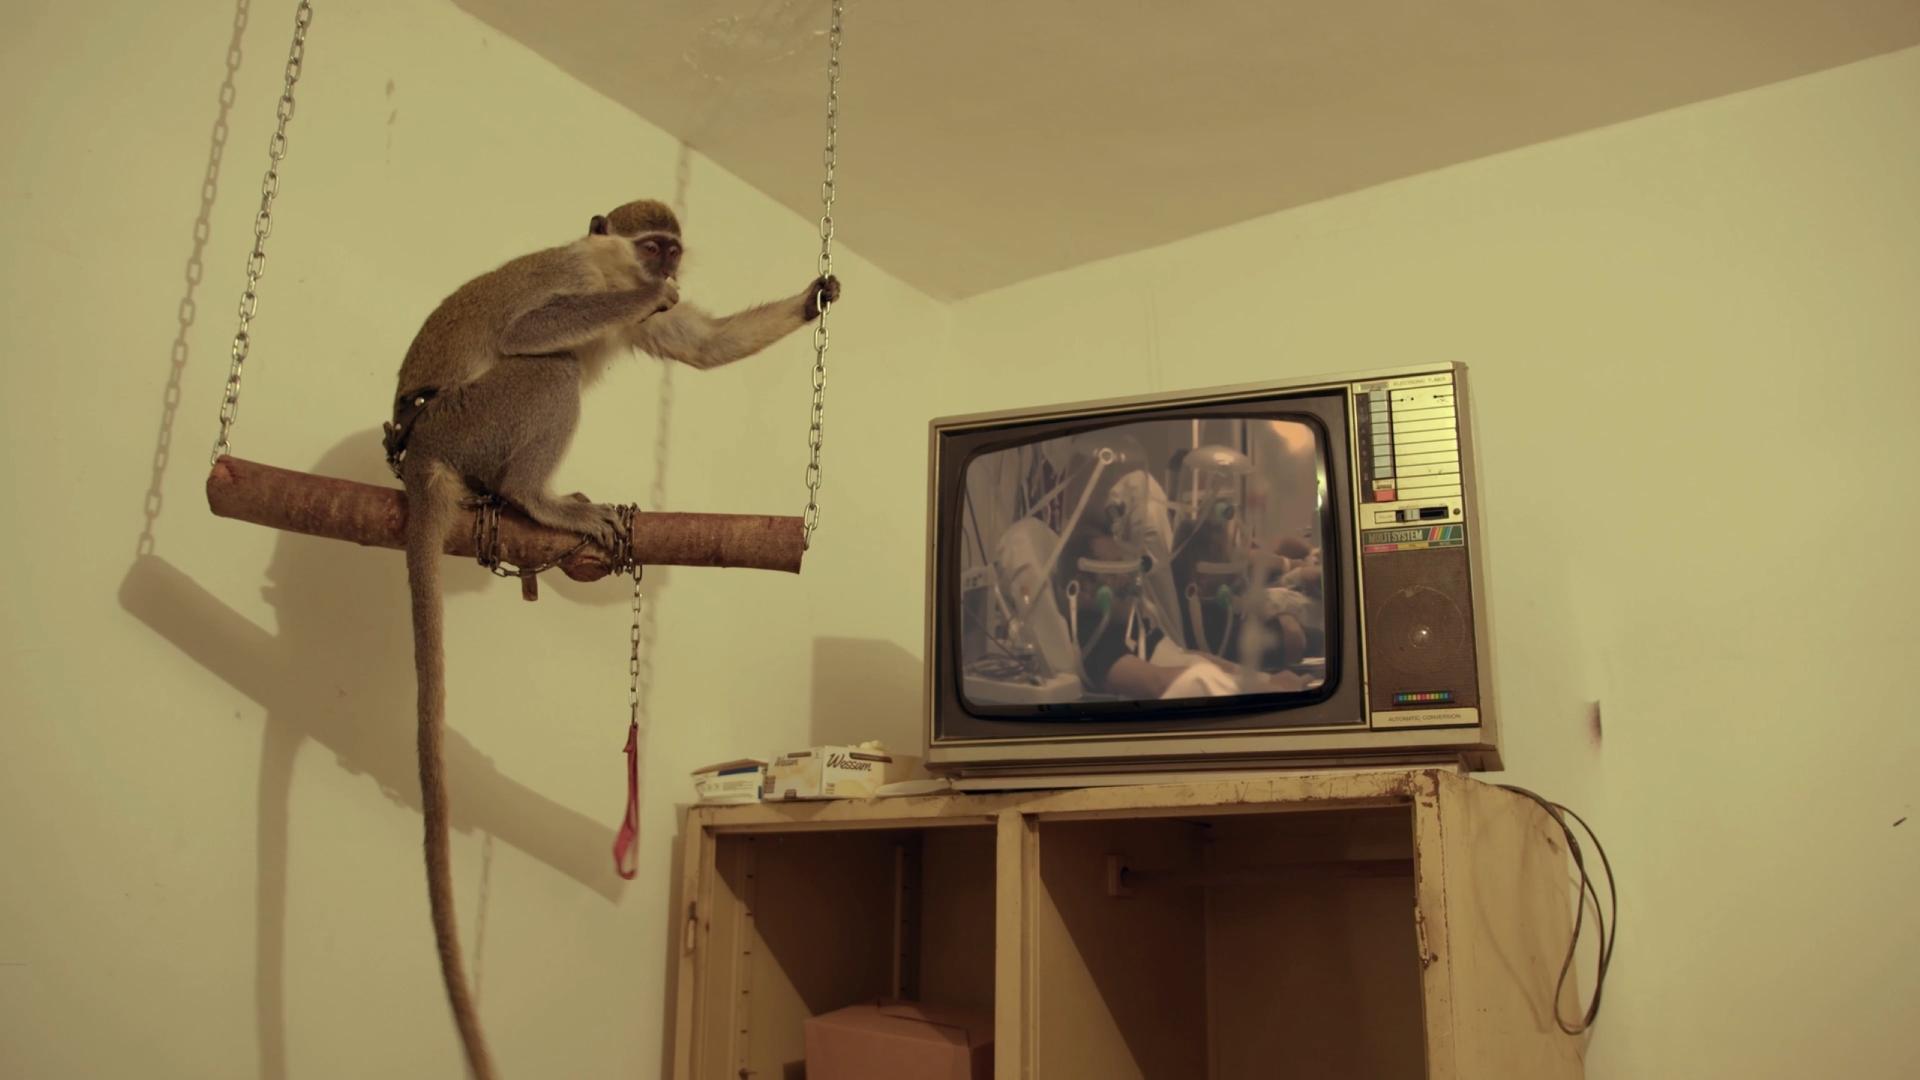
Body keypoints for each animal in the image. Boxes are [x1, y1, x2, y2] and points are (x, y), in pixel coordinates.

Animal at [390, 198, 839, 1080]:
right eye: (652, 245)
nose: (666, 270)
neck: (608, 268)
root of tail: (421, 455)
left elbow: (702, 347)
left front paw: (815, 295)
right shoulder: (577, 277)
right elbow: (534, 327)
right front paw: (644, 300)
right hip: (473, 421)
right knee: (552, 368)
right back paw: (535, 497)